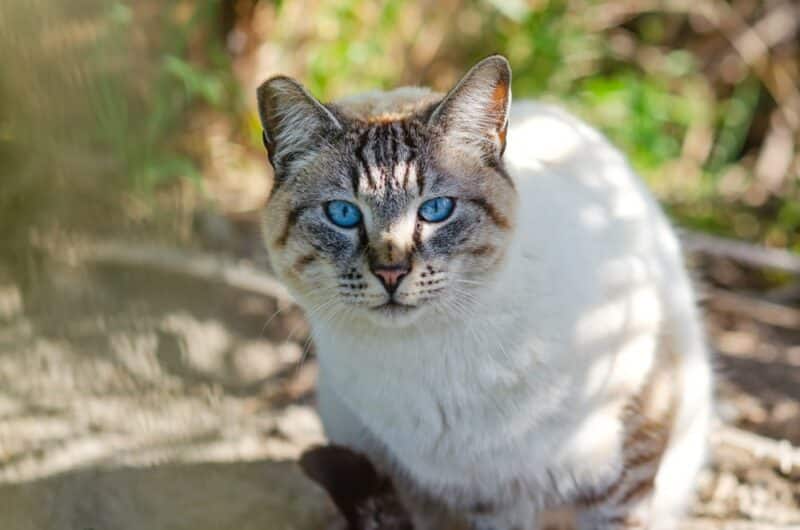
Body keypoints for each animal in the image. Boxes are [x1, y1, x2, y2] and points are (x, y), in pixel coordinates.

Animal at [256, 54, 712, 528]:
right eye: (343, 214)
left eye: (436, 209)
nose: (391, 272)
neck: (430, 354)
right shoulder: (484, 500)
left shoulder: (626, 461)